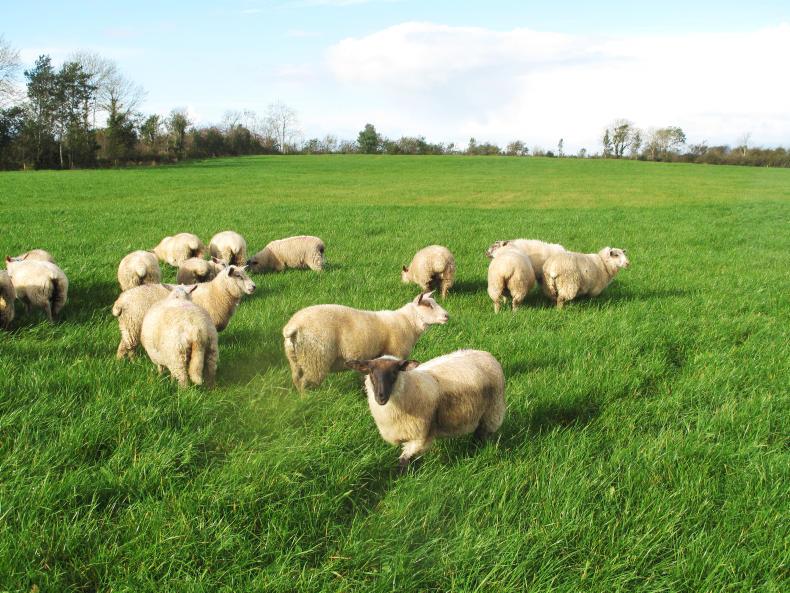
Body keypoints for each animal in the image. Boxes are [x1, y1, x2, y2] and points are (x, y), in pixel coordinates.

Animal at [112, 266, 255, 359]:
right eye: (238, 276)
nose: (254, 287)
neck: (216, 292)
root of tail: (120, 301)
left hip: (128, 326)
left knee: (127, 345)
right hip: (133, 325)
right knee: (125, 347)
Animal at [282, 291, 449, 392]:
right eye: (428, 305)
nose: (447, 316)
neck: (408, 322)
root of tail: (294, 326)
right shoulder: (396, 352)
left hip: (296, 359)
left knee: (297, 379)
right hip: (315, 358)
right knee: (305, 381)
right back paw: (308, 398)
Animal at [347, 349, 506, 470]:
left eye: (395, 372)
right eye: (371, 372)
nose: (381, 397)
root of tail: (486, 354)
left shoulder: (420, 435)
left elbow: (404, 460)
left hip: (492, 412)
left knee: (481, 434)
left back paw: (475, 450)